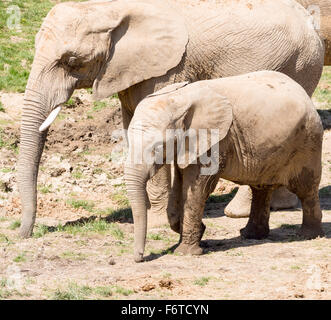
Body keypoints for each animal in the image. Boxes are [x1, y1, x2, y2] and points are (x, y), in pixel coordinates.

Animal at [17, 0, 324, 238]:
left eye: (71, 61)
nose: (25, 234)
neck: (111, 9)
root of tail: (311, 21)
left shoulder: (167, 71)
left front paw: (155, 224)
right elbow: (131, 125)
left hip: (299, 64)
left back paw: (239, 212)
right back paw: (280, 205)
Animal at [124, 70, 324, 262]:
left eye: (158, 147)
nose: (140, 258)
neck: (177, 98)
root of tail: (304, 94)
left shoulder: (216, 141)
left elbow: (198, 189)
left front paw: (186, 252)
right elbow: (180, 186)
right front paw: (193, 233)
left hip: (307, 143)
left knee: (305, 189)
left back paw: (307, 235)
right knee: (261, 188)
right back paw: (251, 235)